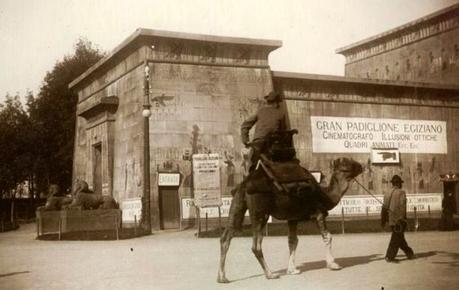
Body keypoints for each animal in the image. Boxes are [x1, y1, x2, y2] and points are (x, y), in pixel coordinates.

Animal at [217, 156, 364, 284]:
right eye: (348, 162)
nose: (361, 166)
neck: (326, 196)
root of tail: (245, 183)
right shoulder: (319, 213)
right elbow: (327, 236)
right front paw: (333, 264)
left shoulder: (292, 218)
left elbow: (292, 241)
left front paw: (292, 270)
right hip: (260, 211)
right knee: (255, 245)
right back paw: (270, 274)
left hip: (237, 204)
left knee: (225, 237)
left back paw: (222, 277)